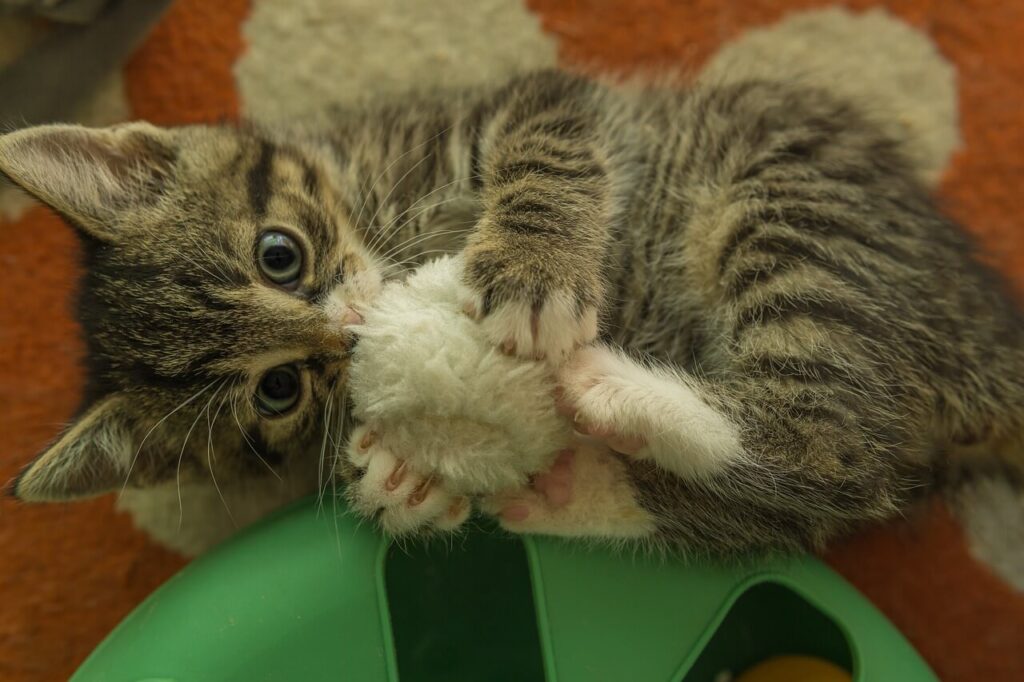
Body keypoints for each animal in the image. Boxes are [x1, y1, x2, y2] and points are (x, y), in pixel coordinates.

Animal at [2, 69, 1024, 557]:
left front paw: (535, 273)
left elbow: (547, 144)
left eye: (278, 255)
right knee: (825, 493)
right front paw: (399, 484)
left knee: (837, 447)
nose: (350, 329)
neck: (373, 196)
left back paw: (607, 388)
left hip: (789, 204)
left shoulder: (541, 100)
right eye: (279, 391)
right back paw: (581, 479)